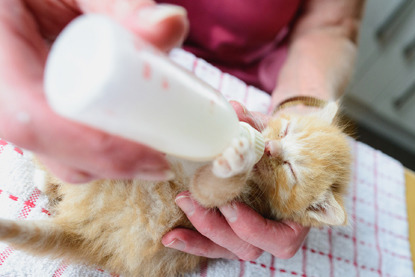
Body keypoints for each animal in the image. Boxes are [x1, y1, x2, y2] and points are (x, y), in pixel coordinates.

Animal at [0, 101, 352, 276]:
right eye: (287, 128)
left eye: (290, 169)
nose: (269, 149)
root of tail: (85, 233)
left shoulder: (223, 199)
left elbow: (213, 188)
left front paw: (237, 154)